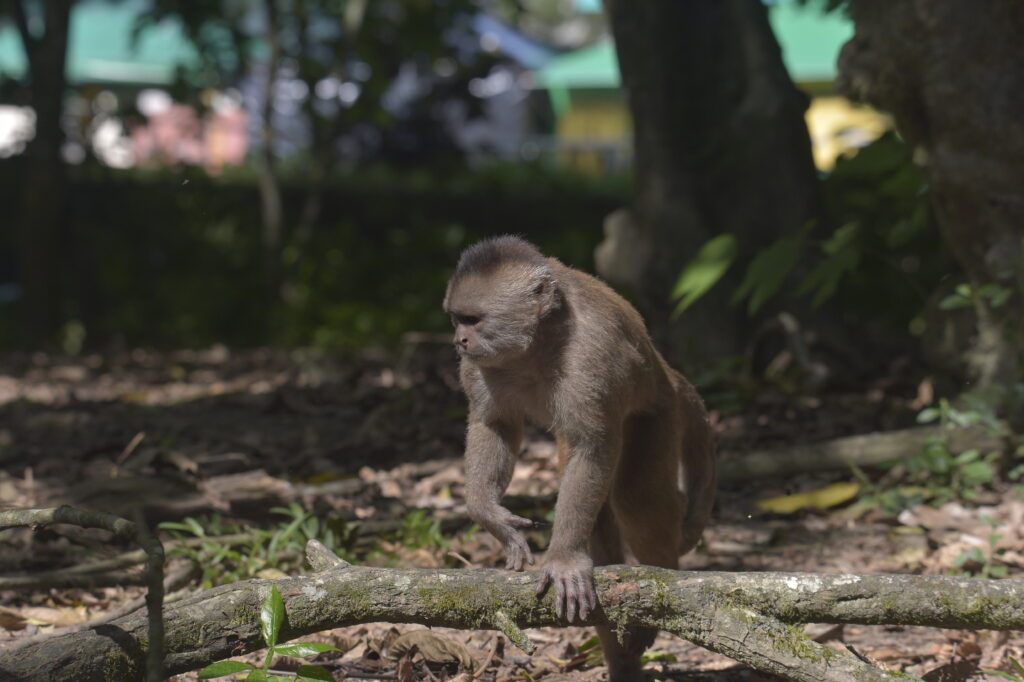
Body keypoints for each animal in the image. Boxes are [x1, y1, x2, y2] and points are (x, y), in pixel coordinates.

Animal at [443, 235, 716, 681]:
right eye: (456, 321)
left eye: (473, 319)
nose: (459, 341)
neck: (539, 338)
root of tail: (666, 371)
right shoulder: (481, 365)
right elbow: (495, 424)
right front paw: (491, 516)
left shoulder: (590, 353)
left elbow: (593, 447)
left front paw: (564, 559)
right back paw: (623, 659)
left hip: (658, 411)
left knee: (635, 495)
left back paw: (658, 592)